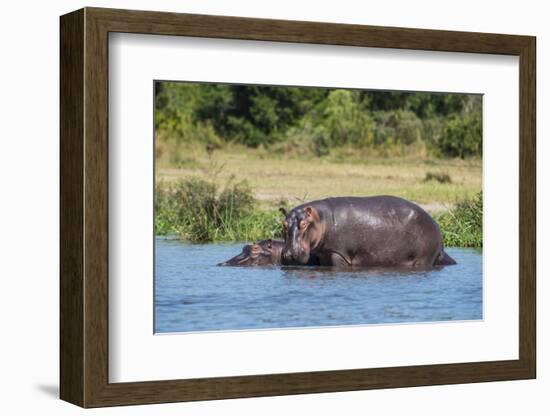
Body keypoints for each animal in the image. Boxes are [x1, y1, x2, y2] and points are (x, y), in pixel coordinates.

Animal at [282, 196, 460, 268]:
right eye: (283, 224)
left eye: (304, 224)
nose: (289, 254)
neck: (322, 218)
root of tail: (437, 226)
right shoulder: (325, 253)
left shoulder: (338, 253)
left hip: (424, 259)